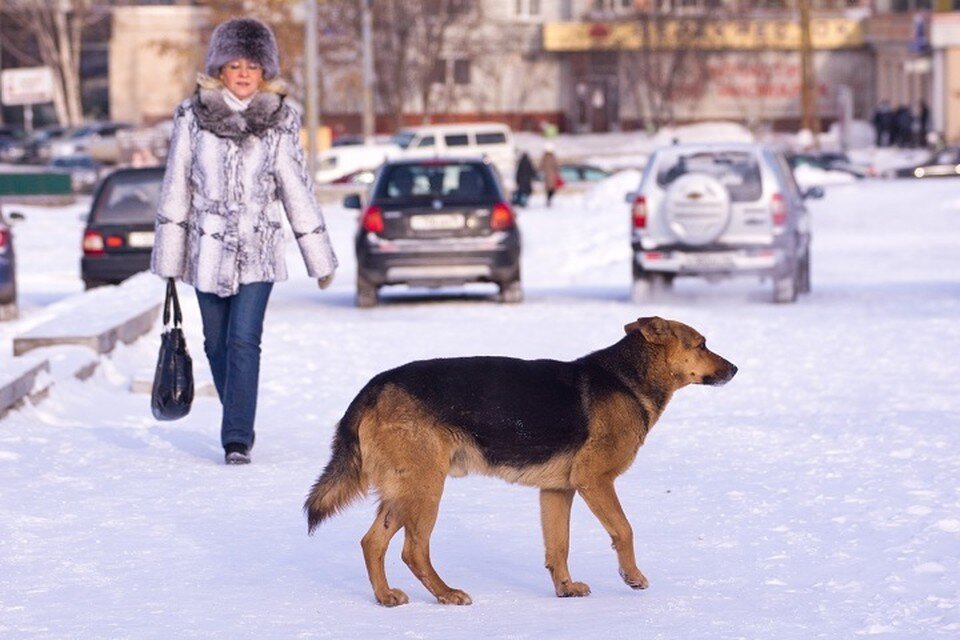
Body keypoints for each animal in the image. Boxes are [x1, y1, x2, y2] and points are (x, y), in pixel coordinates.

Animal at [306, 318, 736, 608]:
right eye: (701, 344)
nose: (735, 369)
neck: (627, 378)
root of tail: (372, 387)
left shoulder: (558, 491)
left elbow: (558, 547)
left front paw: (565, 589)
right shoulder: (595, 481)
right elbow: (624, 531)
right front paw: (631, 577)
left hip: (405, 490)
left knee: (372, 542)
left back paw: (385, 596)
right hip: (425, 488)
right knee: (413, 550)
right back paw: (446, 594)